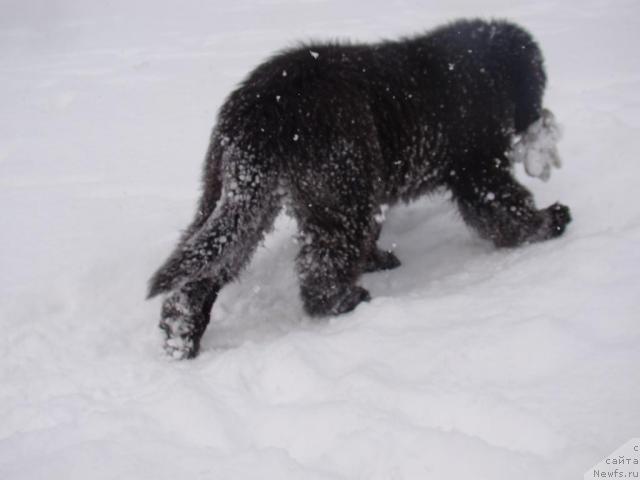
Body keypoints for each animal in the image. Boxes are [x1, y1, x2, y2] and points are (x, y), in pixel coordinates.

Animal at [149, 20, 568, 358]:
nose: (539, 117)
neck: (486, 71)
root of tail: (264, 107)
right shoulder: (479, 168)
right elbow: (506, 207)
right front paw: (548, 223)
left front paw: (375, 259)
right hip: (340, 186)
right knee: (323, 264)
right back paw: (343, 302)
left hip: (235, 194)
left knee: (205, 264)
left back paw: (180, 333)